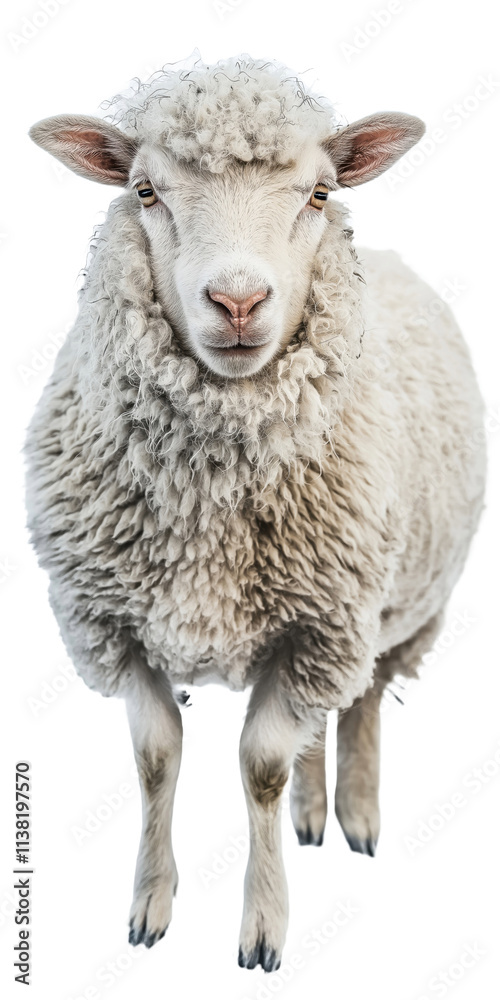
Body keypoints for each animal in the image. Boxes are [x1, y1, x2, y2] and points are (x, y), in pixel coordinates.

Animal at [26, 54, 487, 973]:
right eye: (144, 191)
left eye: (318, 192)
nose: (237, 302)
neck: (207, 491)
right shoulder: (114, 624)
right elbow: (156, 758)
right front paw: (149, 909)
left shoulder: (318, 624)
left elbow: (262, 766)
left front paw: (264, 929)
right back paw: (312, 818)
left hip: (397, 611)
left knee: (365, 700)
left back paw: (354, 814)